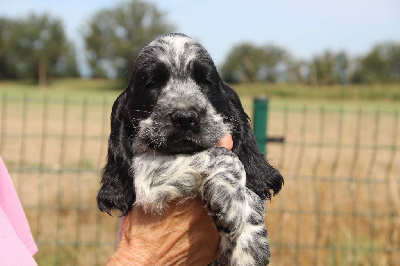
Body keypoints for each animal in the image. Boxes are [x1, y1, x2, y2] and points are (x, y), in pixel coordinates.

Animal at [97, 33, 284, 266]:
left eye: (205, 82)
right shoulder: (146, 171)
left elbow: (249, 179)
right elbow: (223, 155)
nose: (185, 117)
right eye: (152, 83)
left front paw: (250, 244)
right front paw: (231, 203)